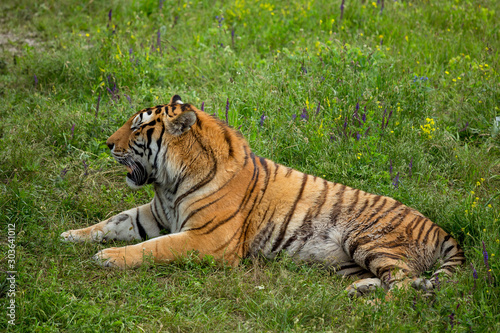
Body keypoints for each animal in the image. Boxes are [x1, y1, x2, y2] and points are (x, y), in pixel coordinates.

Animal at [61, 94, 464, 294]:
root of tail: (441, 230)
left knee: (406, 290)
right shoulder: (153, 214)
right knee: (398, 281)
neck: (169, 182)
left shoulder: (208, 239)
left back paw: (369, 304)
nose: (107, 143)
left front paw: (108, 257)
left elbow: (154, 247)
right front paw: (70, 235)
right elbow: (112, 221)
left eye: (137, 127)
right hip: (352, 258)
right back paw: (361, 289)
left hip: (369, 239)